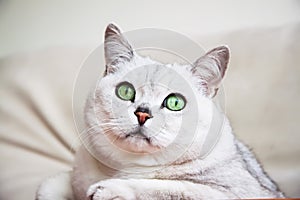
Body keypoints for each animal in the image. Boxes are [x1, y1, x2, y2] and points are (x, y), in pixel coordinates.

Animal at [36, 23, 284, 200]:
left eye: (175, 102)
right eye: (125, 91)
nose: (142, 113)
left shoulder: (236, 192)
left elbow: (168, 187)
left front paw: (109, 189)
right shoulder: (65, 180)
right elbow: (46, 187)